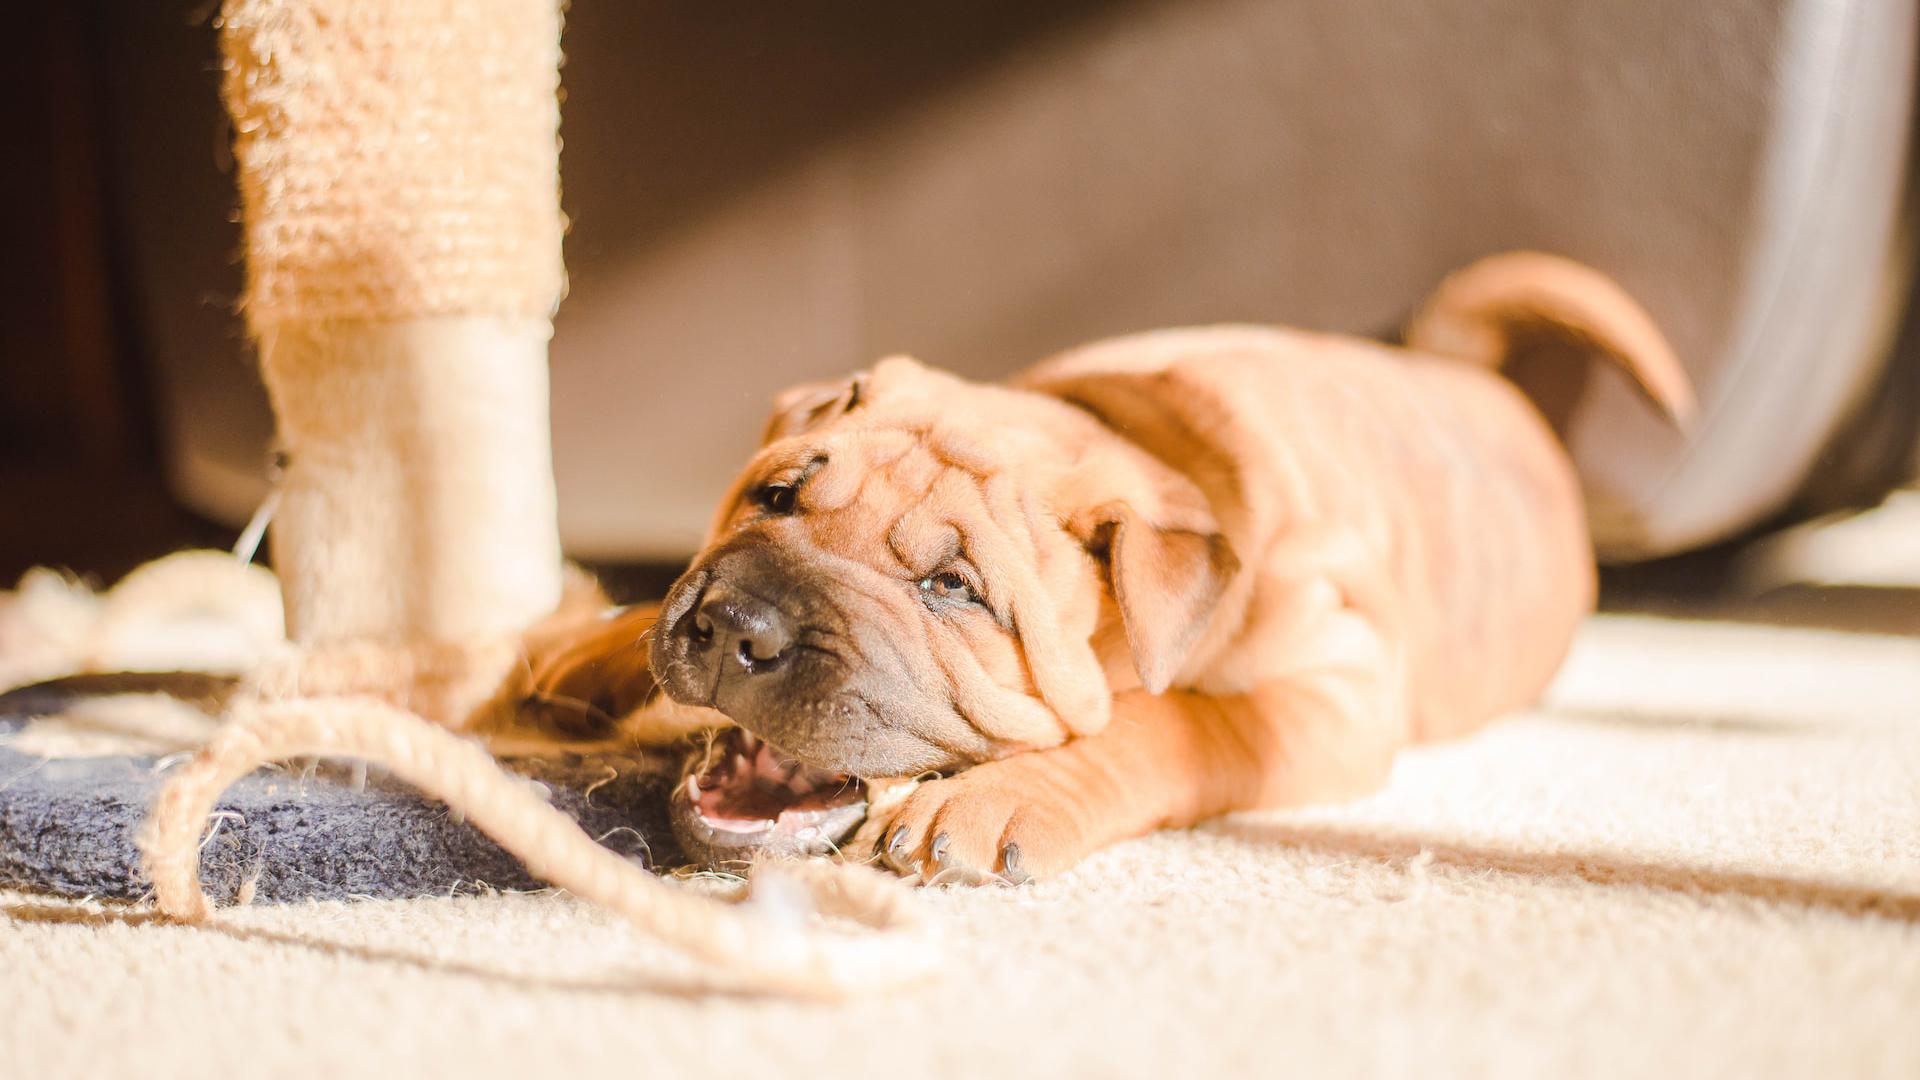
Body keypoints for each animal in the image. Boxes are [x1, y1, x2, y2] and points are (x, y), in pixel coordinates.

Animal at [533, 253, 1689, 883]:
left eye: (952, 590)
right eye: (775, 498)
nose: (739, 627)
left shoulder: (1336, 686)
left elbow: (1177, 722)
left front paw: (990, 804)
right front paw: (572, 650)